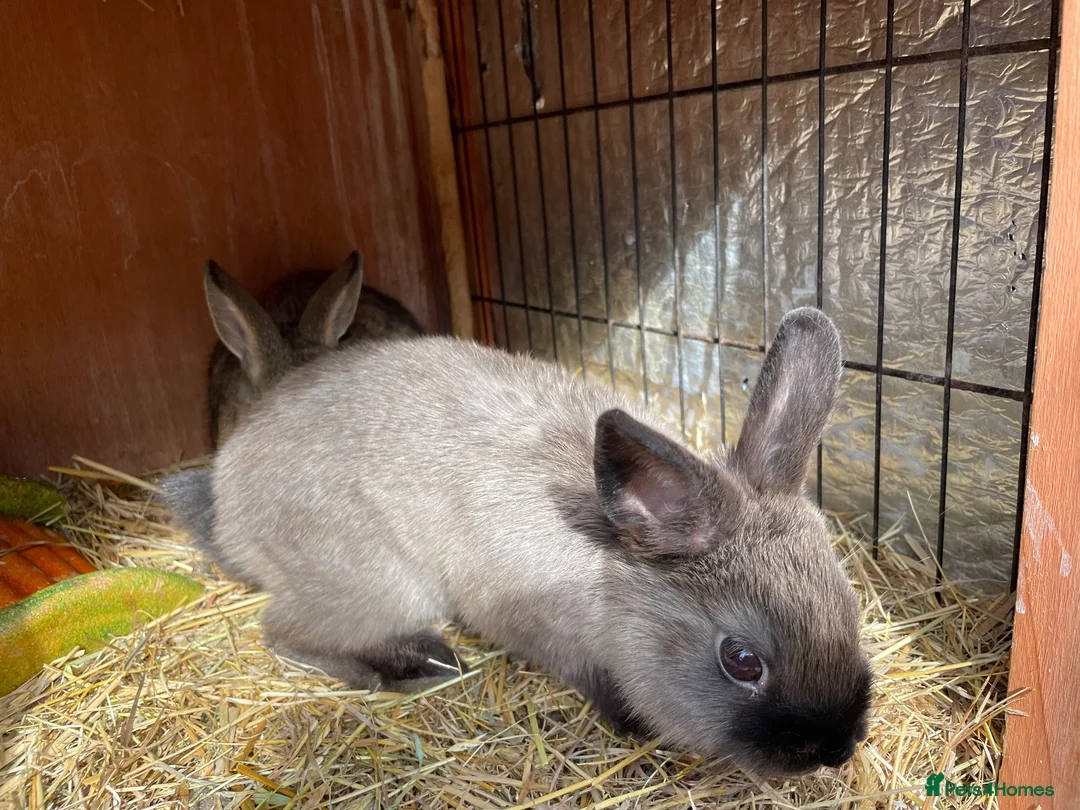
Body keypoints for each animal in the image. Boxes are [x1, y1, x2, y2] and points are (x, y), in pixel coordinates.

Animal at [164, 307, 871, 776]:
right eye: (742, 661)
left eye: (853, 610)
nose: (834, 750)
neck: (611, 578)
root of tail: (228, 501)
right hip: (374, 584)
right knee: (283, 632)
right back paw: (411, 665)